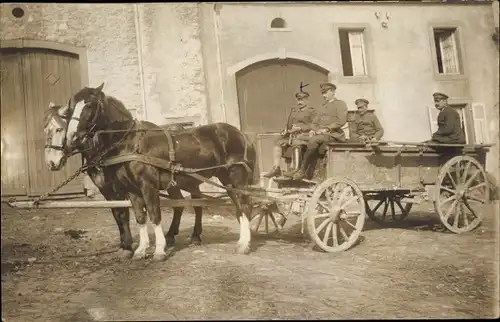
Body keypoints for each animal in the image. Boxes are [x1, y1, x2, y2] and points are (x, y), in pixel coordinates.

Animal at [60, 82, 256, 260]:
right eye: (71, 109)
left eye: (89, 105)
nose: (71, 138)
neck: (131, 143)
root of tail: (241, 134)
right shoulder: (132, 190)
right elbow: (140, 217)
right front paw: (140, 250)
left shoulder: (148, 186)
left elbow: (154, 215)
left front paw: (159, 250)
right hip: (224, 179)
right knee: (236, 206)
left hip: (236, 176)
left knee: (244, 206)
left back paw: (244, 244)